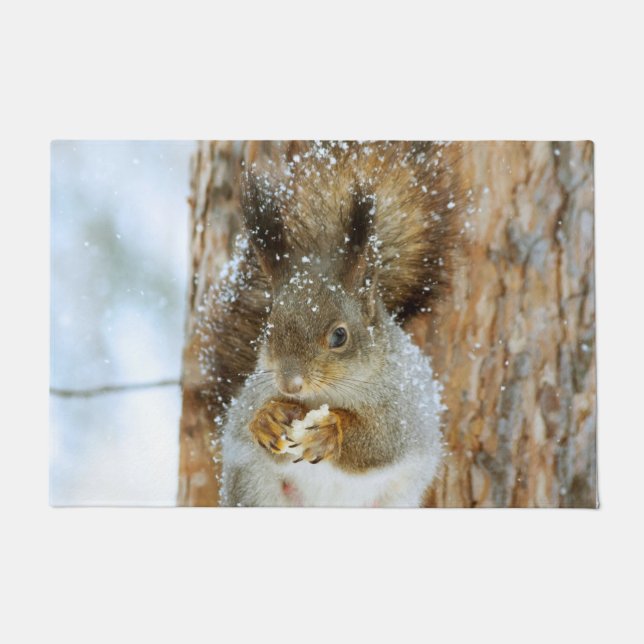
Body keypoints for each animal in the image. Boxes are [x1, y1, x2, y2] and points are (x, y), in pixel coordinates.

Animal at [199, 141, 463, 507]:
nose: (290, 384)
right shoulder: (252, 394)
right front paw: (267, 420)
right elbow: (243, 423)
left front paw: (330, 431)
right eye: (268, 329)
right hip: (253, 490)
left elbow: (380, 441)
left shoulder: (405, 408)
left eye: (340, 336)